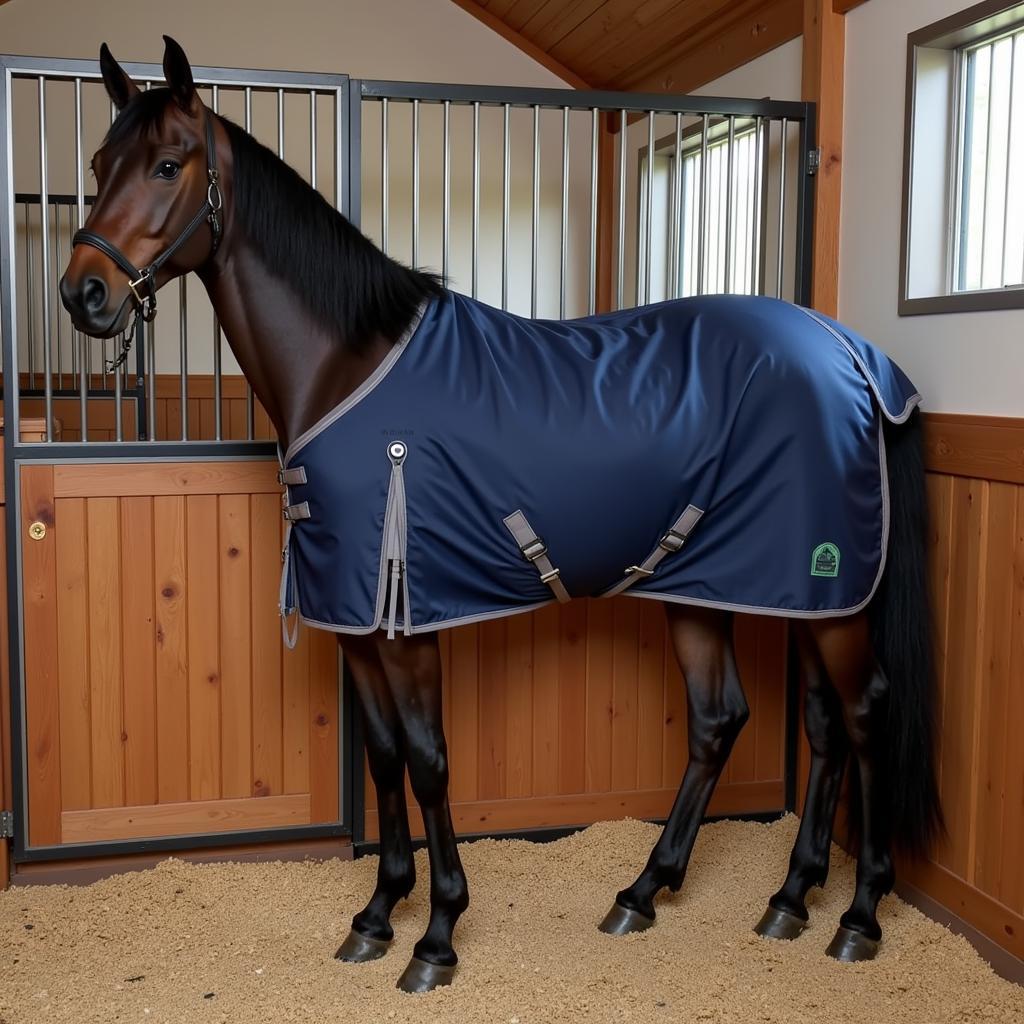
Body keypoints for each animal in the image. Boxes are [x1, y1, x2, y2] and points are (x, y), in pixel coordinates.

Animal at [59, 39, 942, 991]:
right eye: (100, 164)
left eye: (167, 165)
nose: (84, 294)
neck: (345, 366)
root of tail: (852, 353)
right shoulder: (354, 621)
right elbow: (383, 756)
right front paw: (378, 914)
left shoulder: (406, 620)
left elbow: (429, 760)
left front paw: (437, 936)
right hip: (750, 590)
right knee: (759, 722)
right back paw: (718, 896)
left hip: (824, 594)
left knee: (862, 716)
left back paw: (856, 914)